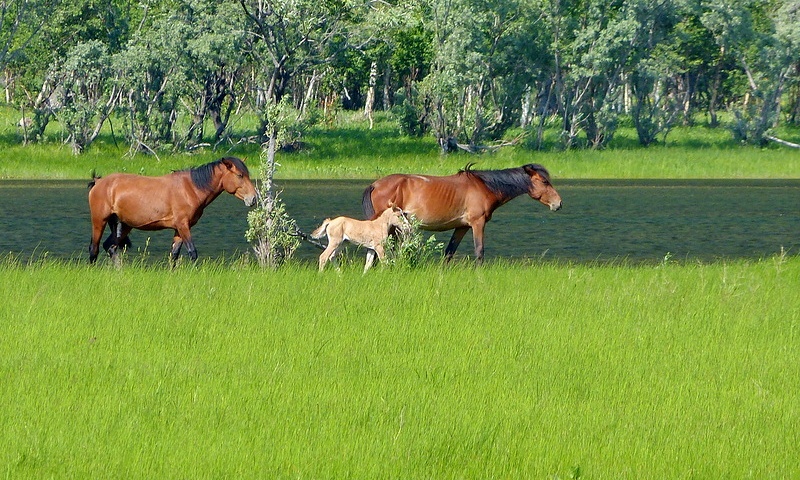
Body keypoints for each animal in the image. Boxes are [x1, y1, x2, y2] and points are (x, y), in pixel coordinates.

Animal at [88, 157, 256, 262]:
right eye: (240, 175)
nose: (253, 198)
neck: (191, 188)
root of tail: (98, 182)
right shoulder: (183, 226)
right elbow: (192, 252)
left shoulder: (179, 228)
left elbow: (174, 254)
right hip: (99, 221)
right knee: (94, 248)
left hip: (124, 225)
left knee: (110, 246)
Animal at [364, 164, 564, 262]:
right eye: (545, 181)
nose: (559, 203)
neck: (485, 187)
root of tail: (375, 184)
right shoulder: (477, 223)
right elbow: (479, 251)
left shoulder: (462, 227)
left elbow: (449, 252)